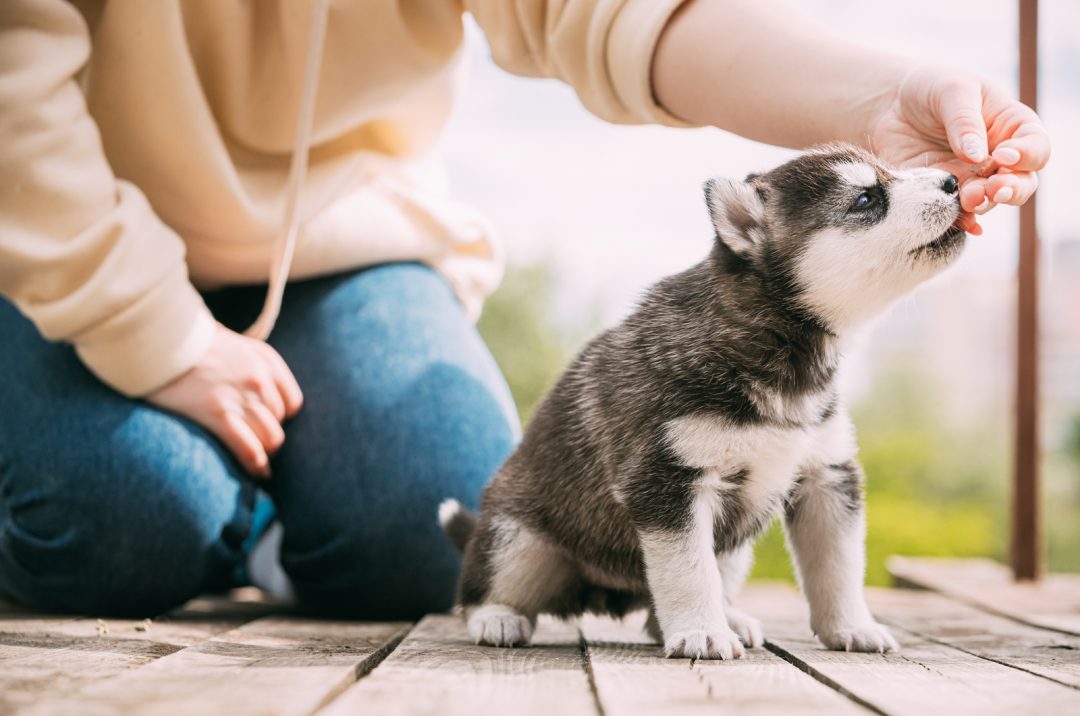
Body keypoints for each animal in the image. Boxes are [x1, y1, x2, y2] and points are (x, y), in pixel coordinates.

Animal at [442, 144, 967, 660]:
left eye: (891, 171)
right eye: (865, 199)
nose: (953, 180)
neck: (779, 351)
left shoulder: (827, 475)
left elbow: (838, 565)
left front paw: (852, 627)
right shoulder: (667, 481)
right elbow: (688, 571)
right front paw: (701, 633)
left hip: (735, 550)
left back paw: (726, 618)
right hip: (516, 539)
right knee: (482, 590)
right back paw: (498, 617)